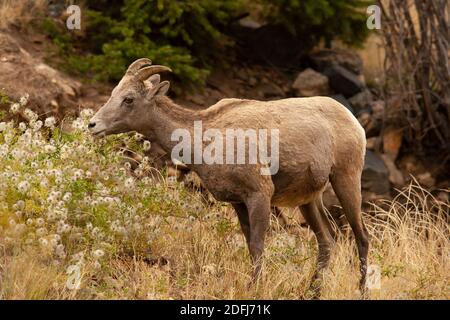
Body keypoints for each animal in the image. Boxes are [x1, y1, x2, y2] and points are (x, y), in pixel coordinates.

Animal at [89, 58, 370, 298]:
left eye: (129, 99)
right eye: (114, 93)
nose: (93, 125)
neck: (206, 140)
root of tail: (353, 121)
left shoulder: (259, 195)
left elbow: (258, 246)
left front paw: (254, 289)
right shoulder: (239, 202)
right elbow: (250, 247)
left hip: (345, 180)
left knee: (362, 236)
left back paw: (361, 291)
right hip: (309, 200)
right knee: (327, 241)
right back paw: (311, 292)